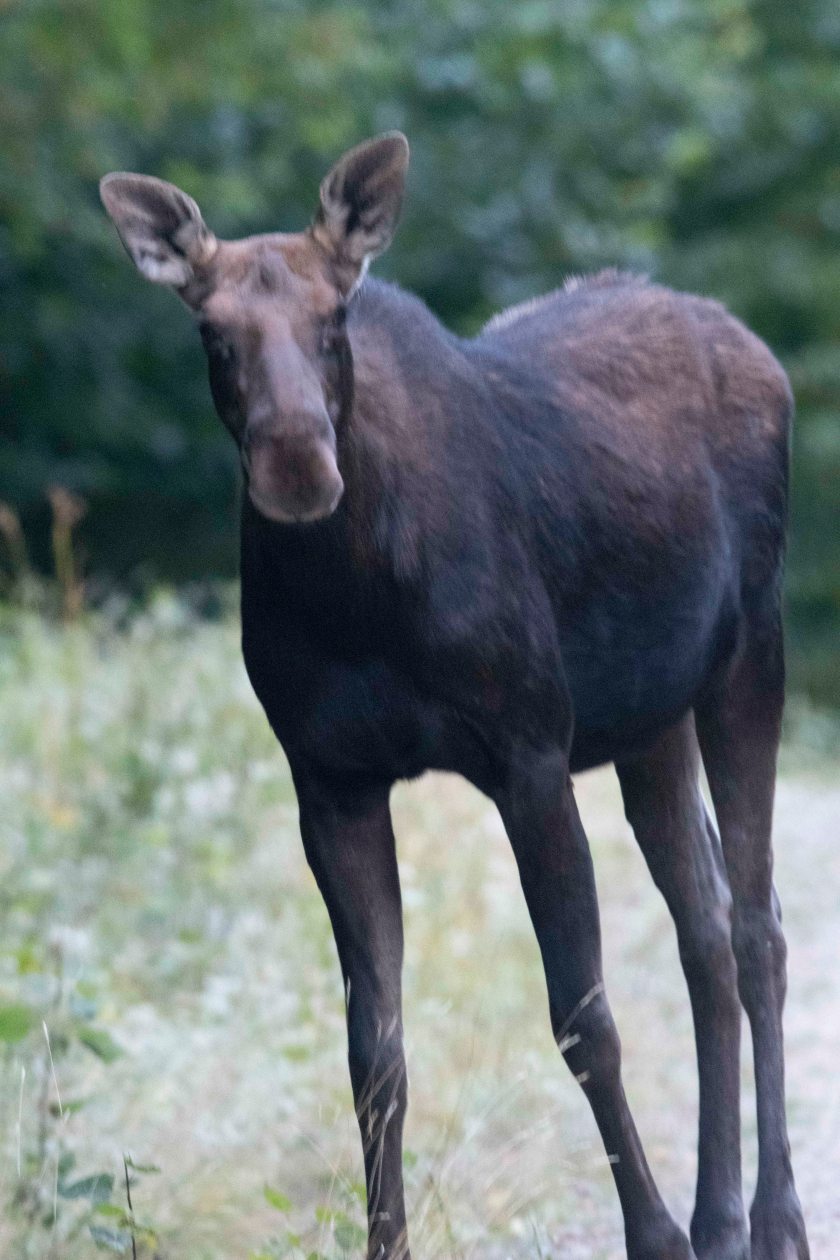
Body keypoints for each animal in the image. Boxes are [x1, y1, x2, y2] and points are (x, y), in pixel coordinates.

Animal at [100, 133, 809, 1260]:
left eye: (336, 316)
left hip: (752, 655)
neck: (358, 599)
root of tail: (759, 350)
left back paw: (773, 1218)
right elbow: (373, 1054)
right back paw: (719, 1217)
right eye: (212, 333)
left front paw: (650, 1233)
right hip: (651, 721)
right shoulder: (331, 781)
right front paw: (387, 1243)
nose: (297, 463)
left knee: (757, 926)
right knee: (703, 929)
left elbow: (584, 1017)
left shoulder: (530, 753)